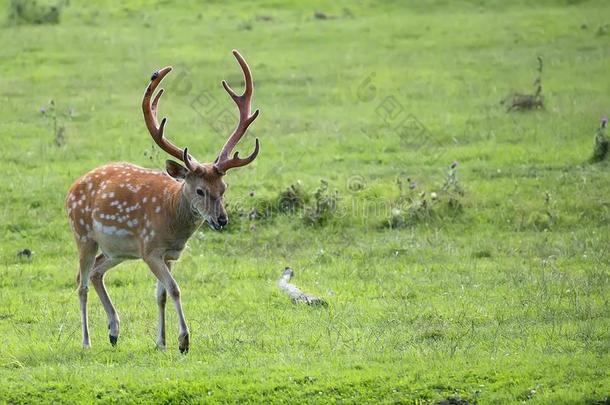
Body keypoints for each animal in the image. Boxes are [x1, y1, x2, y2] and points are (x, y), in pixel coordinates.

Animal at [66, 50, 258, 352]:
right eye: (200, 190)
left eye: (224, 187)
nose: (222, 220)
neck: (171, 220)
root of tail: (71, 190)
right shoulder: (150, 249)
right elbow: (175, 289)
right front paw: (184, 341)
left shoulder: (169, 255)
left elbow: (162, 294)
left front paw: (162, 342)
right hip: (83, 234)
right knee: (81, 282)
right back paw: (86, 341)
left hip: (116, 250)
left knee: (96, 272)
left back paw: (114, 331)